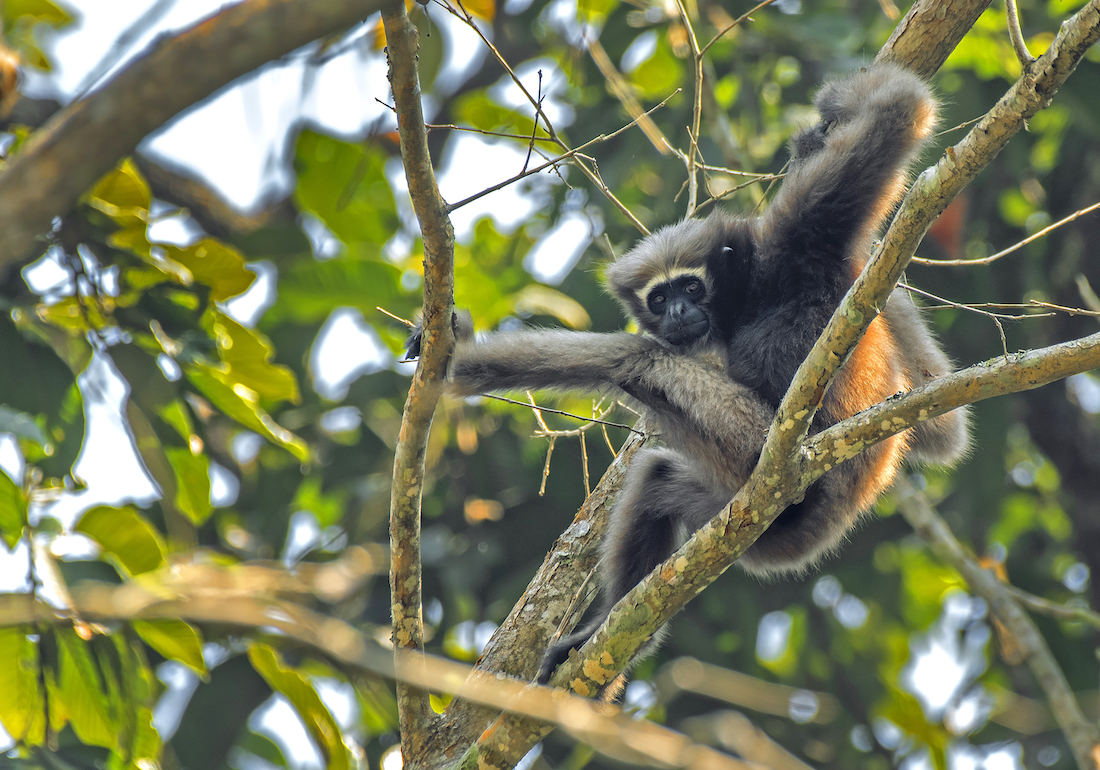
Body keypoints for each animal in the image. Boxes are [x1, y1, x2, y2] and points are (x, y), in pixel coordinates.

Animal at [407, 63, 969, 687]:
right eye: (660, 297)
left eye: (692, 287)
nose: (676, 312)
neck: (748, 294)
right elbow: (941, 428)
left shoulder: (799, 232)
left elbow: (899, 110)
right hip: (743, 509)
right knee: (656, 476)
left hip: (769, 458)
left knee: (639, 361)